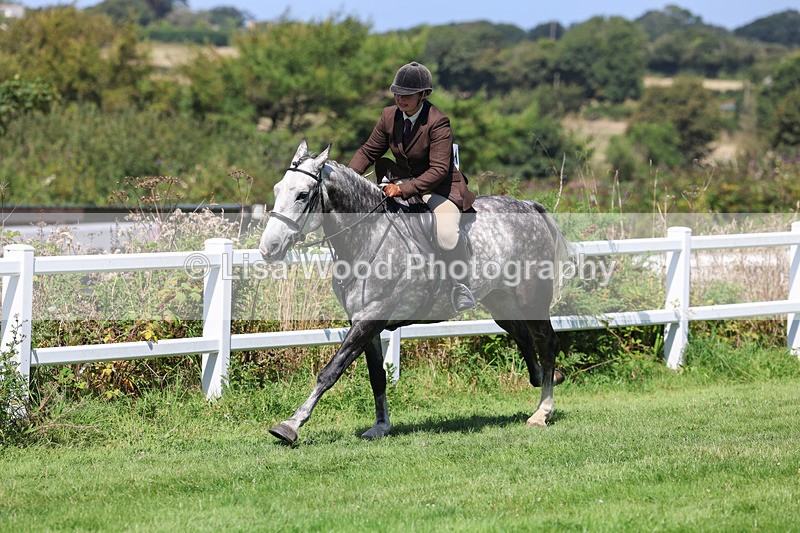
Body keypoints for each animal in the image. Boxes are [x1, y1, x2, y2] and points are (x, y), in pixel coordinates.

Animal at [259, 141, 572, 445]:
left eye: (302, 195)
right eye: (277, 189)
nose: (268, 248)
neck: (366, 236)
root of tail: (528, 205)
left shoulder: (371, 316)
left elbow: (331, 370)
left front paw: (290, 425)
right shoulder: (364, 321)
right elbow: (377, 376)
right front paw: (380, 426)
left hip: (531, 297)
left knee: (546, 342)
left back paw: (542, 412)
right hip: (500, 301)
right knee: (523, 336)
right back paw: (547, 378)